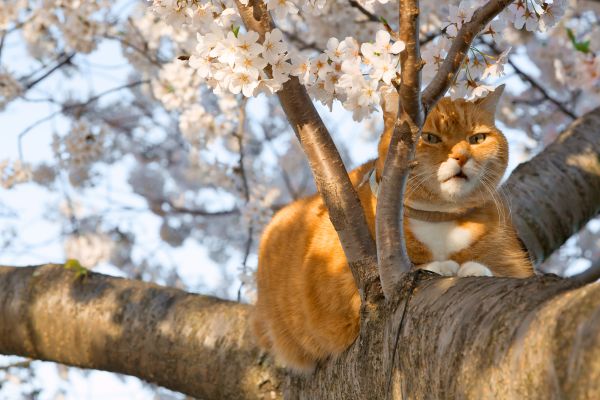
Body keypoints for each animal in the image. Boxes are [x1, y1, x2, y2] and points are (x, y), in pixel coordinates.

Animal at [251, 87, 532, 372]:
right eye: (430, 138)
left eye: (477, 138)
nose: (462, 157)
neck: (438, 218)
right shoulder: (351, 286)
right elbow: (422, 267)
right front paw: (442, 266)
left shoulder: (517, 264)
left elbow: (501, 270)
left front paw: (474, 268)